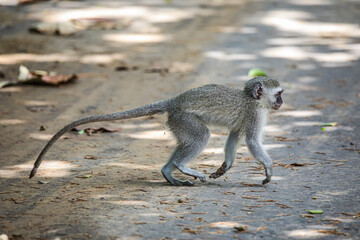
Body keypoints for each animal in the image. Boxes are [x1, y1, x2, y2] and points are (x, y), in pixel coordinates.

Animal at [29, 76, 282, 186]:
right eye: (278, 93)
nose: (281, 102)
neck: (252, 99)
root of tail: (174, 101)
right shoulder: (255, 115)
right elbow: (252, 141)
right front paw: (269, 169)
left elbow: (233, 137)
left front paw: (224, 168)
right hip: (184, 118)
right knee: (201, 137)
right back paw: (180, 167)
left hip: (178, 122)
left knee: (185, 142)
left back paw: (169, 173)